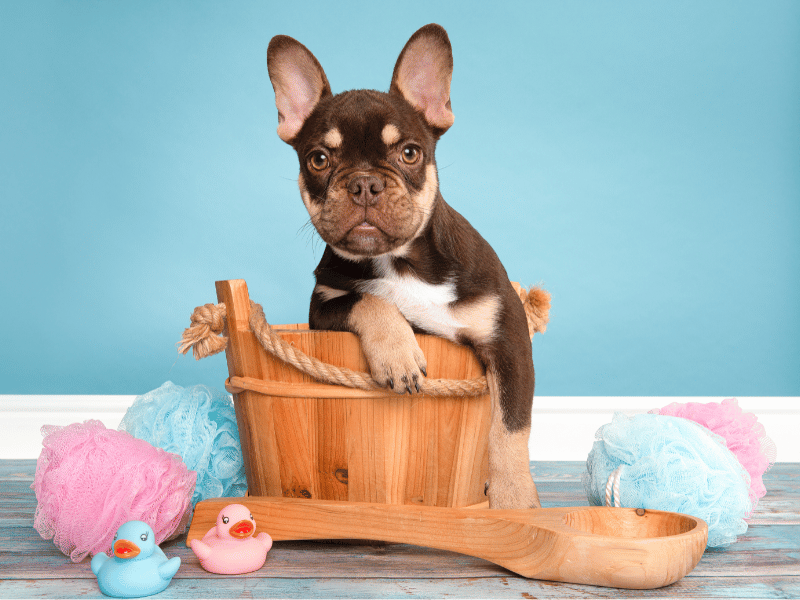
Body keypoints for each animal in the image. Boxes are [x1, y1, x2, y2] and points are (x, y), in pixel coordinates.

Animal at [266, 24, 540, 510]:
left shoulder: (508, 336)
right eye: (318, 159)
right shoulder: (325, 305)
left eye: (410, 153)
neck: (402, 261)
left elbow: (509, 427)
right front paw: (398, 353)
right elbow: (369, 301)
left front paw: (513, 498)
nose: (364, 183)